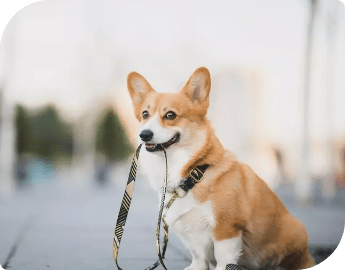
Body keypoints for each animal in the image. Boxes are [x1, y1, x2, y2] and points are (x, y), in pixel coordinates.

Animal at [126, 67, 314, 270]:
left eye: (170, 115)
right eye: (145, 114)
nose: (144, 134)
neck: (192, 174)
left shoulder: (226, 229)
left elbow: (223, 257)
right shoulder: (191, 234)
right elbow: (198, 255)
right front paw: (196, 267)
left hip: (296, 232)